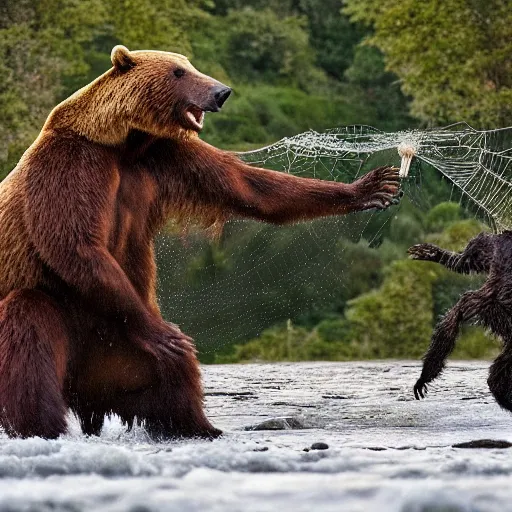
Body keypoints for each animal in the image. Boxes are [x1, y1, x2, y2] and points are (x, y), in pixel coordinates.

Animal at [0, 46, 400, 438]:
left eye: (189, 64)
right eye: (178, 71)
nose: (221, 92)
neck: (125, 145)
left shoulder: (165, 158)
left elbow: (249, 187)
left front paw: (371, 187)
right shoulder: (71, 165)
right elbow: (75, 245)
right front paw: (164, 334)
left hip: (116, 348)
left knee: (169, 378)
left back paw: (198, 425)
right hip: (69, 314)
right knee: (29, 331)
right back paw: (41, 425)